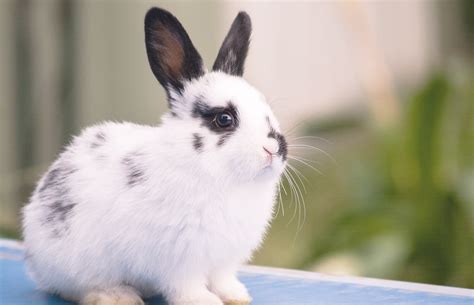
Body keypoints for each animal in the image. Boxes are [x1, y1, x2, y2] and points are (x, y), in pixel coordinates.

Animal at [21, 5, 288, 304]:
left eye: (266, 108)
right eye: (224, 119)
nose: (274, 148)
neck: (224, 179)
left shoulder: (223, 259)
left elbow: (222, 278)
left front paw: (236, 296)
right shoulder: (180, 259)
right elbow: (187, 285)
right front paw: (203, 300)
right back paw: (117, 296)